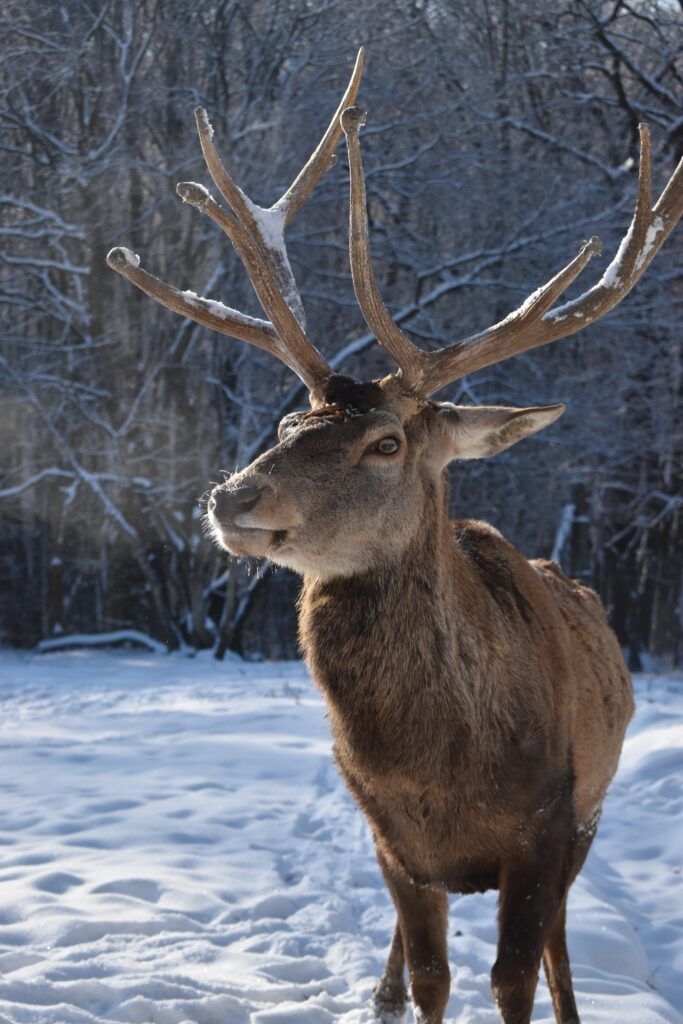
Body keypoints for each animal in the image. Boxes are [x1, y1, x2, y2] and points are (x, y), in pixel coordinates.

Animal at [108, 51, 683, 1024]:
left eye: (385, 443)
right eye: (289, 421)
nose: (233, 495)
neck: (446, 774)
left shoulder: (549, 828)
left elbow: (514, 979)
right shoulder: (392, 842)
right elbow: (428, 980)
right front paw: (396, 991)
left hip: (590, 817)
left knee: (562, 947)